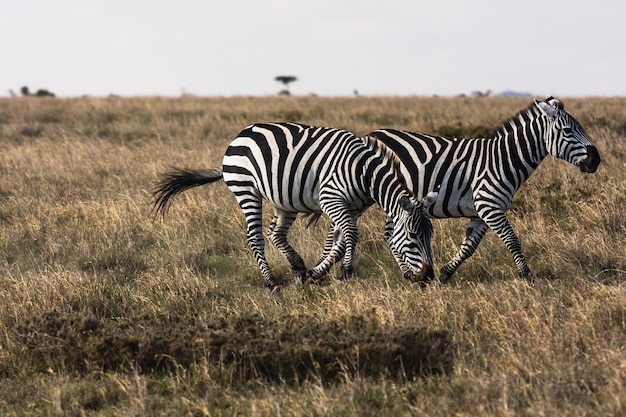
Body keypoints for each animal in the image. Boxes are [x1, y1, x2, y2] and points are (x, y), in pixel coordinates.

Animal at [152, 121, 436, 290]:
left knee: (275, 233)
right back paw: (271, 282)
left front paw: (317, 272)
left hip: (284, 200)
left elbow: (339, 239)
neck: (365, 173)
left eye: (430, 235)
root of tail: (243, 132)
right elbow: (351, 234)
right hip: (246, 188)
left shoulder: (352, 207)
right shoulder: (331, 198)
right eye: (413, 235)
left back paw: (298, 267)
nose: (428, 277)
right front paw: (345, 271)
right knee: (255, 237)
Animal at [360, 95, 600, 282]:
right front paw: (527, 276)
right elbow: (513, 241)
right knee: (389, 234)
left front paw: (445, 274)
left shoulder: (481, 213)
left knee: (390, 234)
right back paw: (408, 273)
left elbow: (469, 247)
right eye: (568, 130)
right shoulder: (489, 206)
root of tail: (372, 133)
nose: (596, 160)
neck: (503, 160)